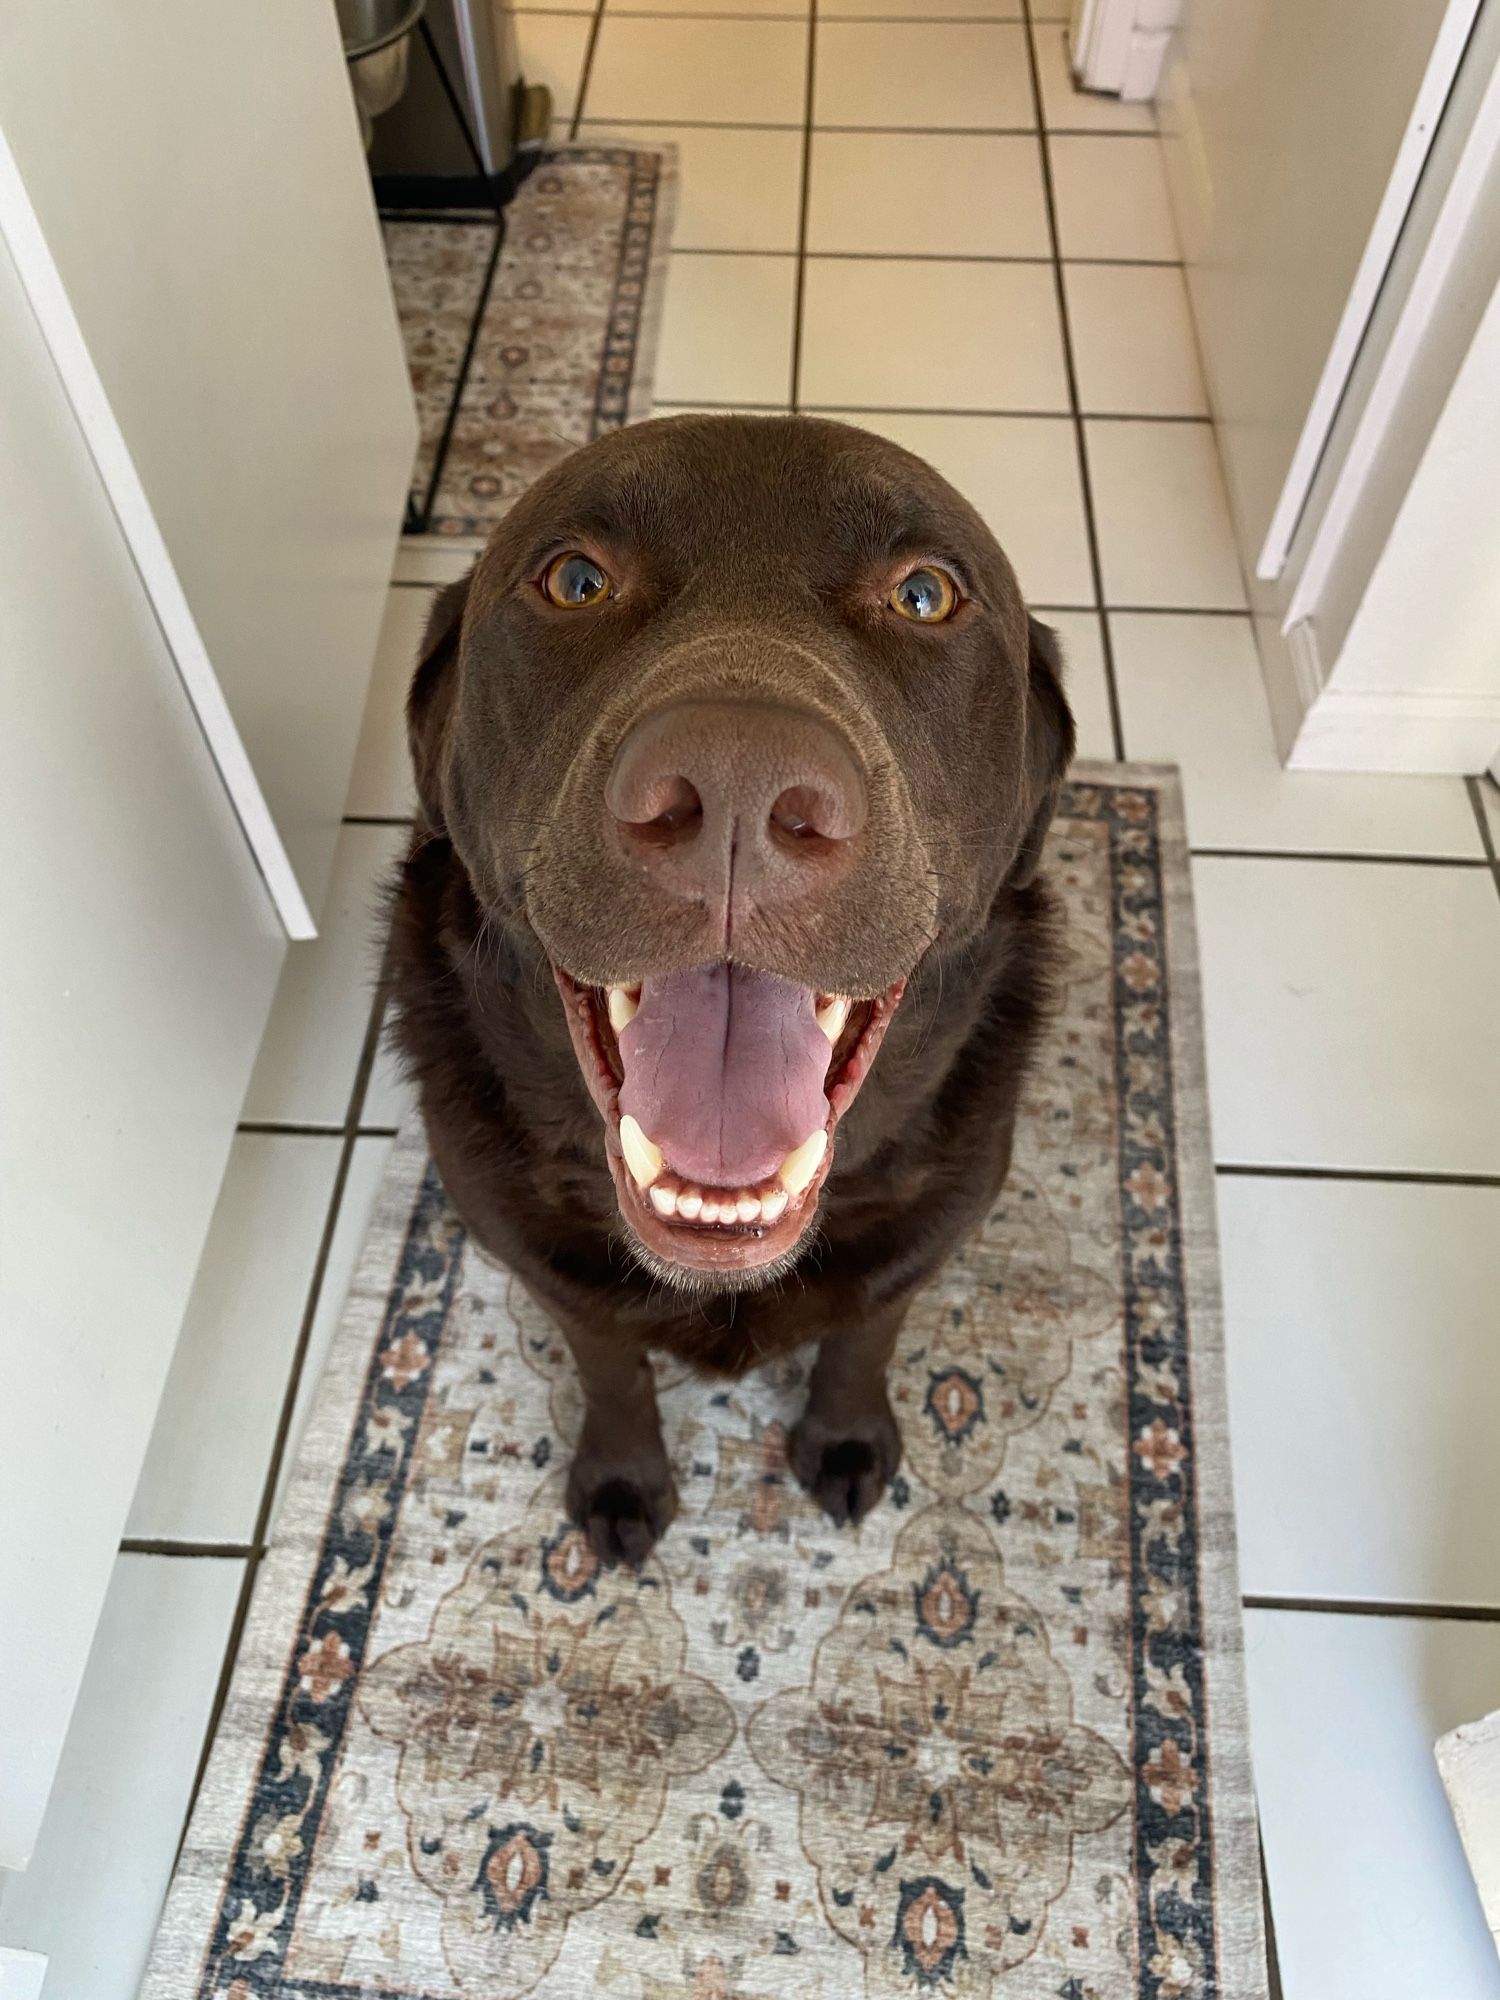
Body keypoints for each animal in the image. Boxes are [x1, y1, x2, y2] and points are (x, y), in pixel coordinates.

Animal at [382, 414, 1072, 1568]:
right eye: (575, 580)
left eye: (924, 594)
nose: (739, 784)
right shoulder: (535, 1253)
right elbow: (608, 1359)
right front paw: (622, 1476)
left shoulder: (931, 1227)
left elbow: (866, 1330)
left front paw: (846, 1437)